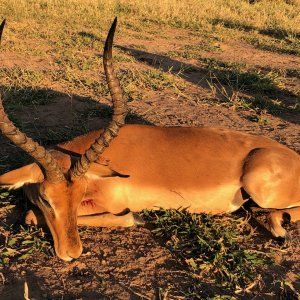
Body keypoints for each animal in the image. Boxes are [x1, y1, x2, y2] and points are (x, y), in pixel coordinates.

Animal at [0, 18, 300, 262]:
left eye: (79, 195)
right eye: (47, 198)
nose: (72, 254)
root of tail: (291, 156)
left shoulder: (113, 205)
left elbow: (31, 215)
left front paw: (135, 218)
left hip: (258, 187)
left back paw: (279, 229)